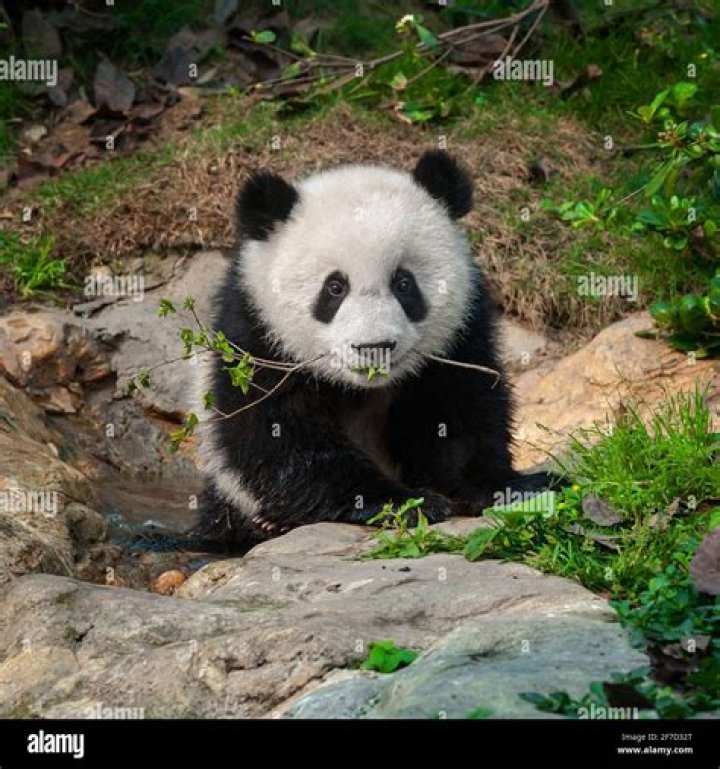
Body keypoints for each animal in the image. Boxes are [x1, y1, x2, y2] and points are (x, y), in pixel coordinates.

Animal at [193, 150, 551, 551]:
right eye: (334, 288)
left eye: (404, 283)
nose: (374, 347)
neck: (362, 388)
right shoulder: (258, 336)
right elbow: (276, 436)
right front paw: (402, 501)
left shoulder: (460, 333)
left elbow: (458, 414)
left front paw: (512, 486)